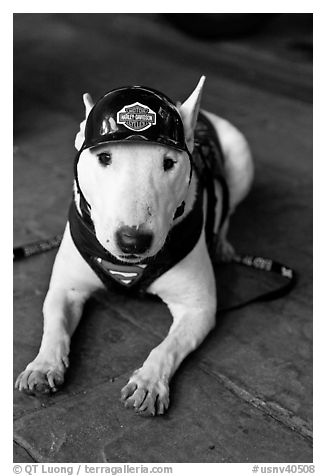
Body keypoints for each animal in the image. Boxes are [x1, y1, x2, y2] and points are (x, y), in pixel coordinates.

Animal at [15, 76, 255, 414]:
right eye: (104, 157)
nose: (133, 241)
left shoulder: (198, 309)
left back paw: (221, 244)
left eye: (169, 162)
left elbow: (168, 346)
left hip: (242, 160)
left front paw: (149, 383)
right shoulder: (66, 288)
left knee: (230, 205)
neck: (128, 267)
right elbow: (56, 325)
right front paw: (43, 366)